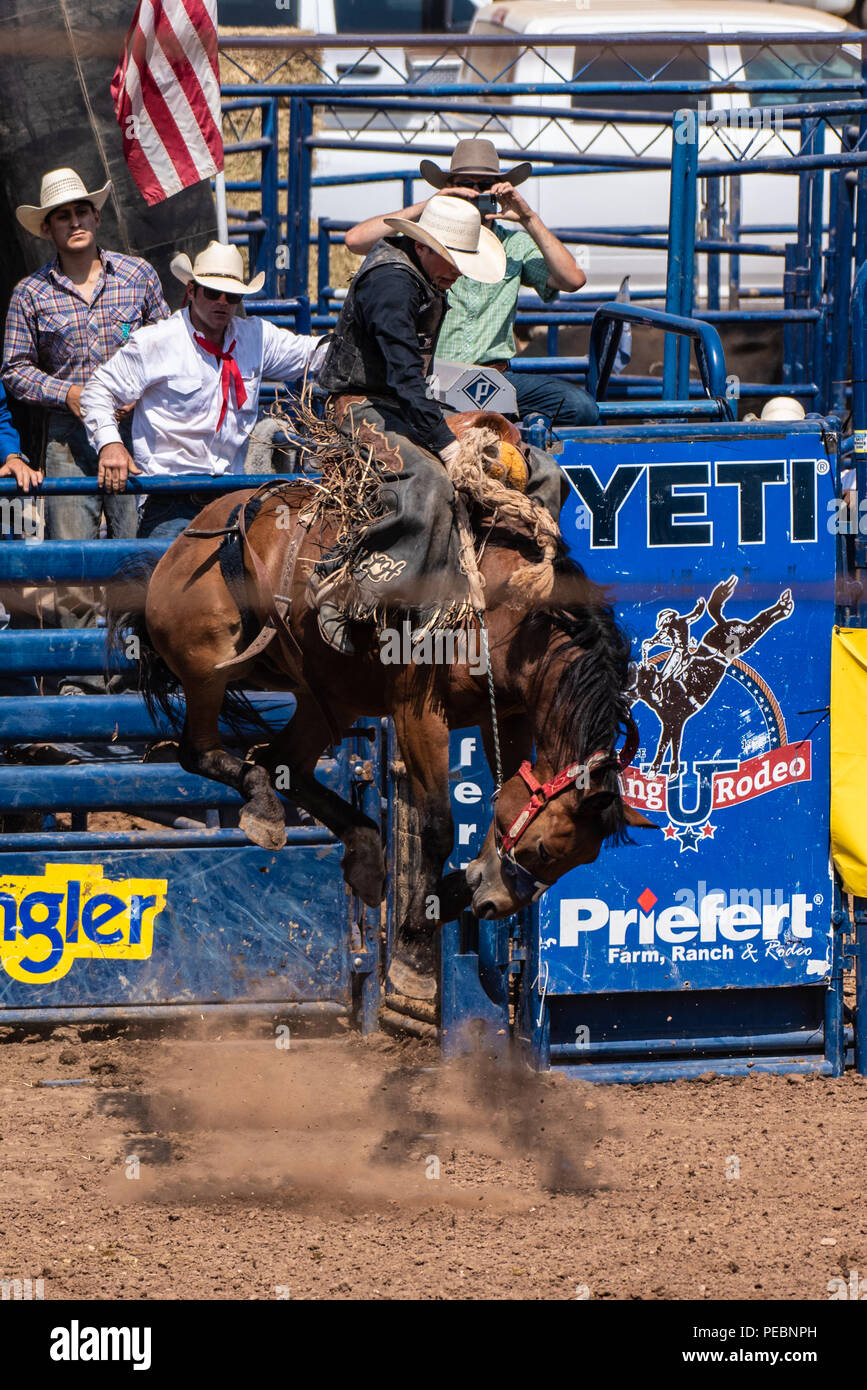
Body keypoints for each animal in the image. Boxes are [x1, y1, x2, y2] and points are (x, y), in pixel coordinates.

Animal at [111, 453, 647, 989]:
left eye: (581, 859)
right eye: (545, 852)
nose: (495, 904)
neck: (506, 616)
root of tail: (184, 543)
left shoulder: (510, 716)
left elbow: (504, 793)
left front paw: (452, 892)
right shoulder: (418, 714)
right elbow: (438, 827)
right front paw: (414, 956)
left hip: (329, 696)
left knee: (284, 763)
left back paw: (359, 850)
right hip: (208, 662)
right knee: (200, 751)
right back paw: (266, 810)